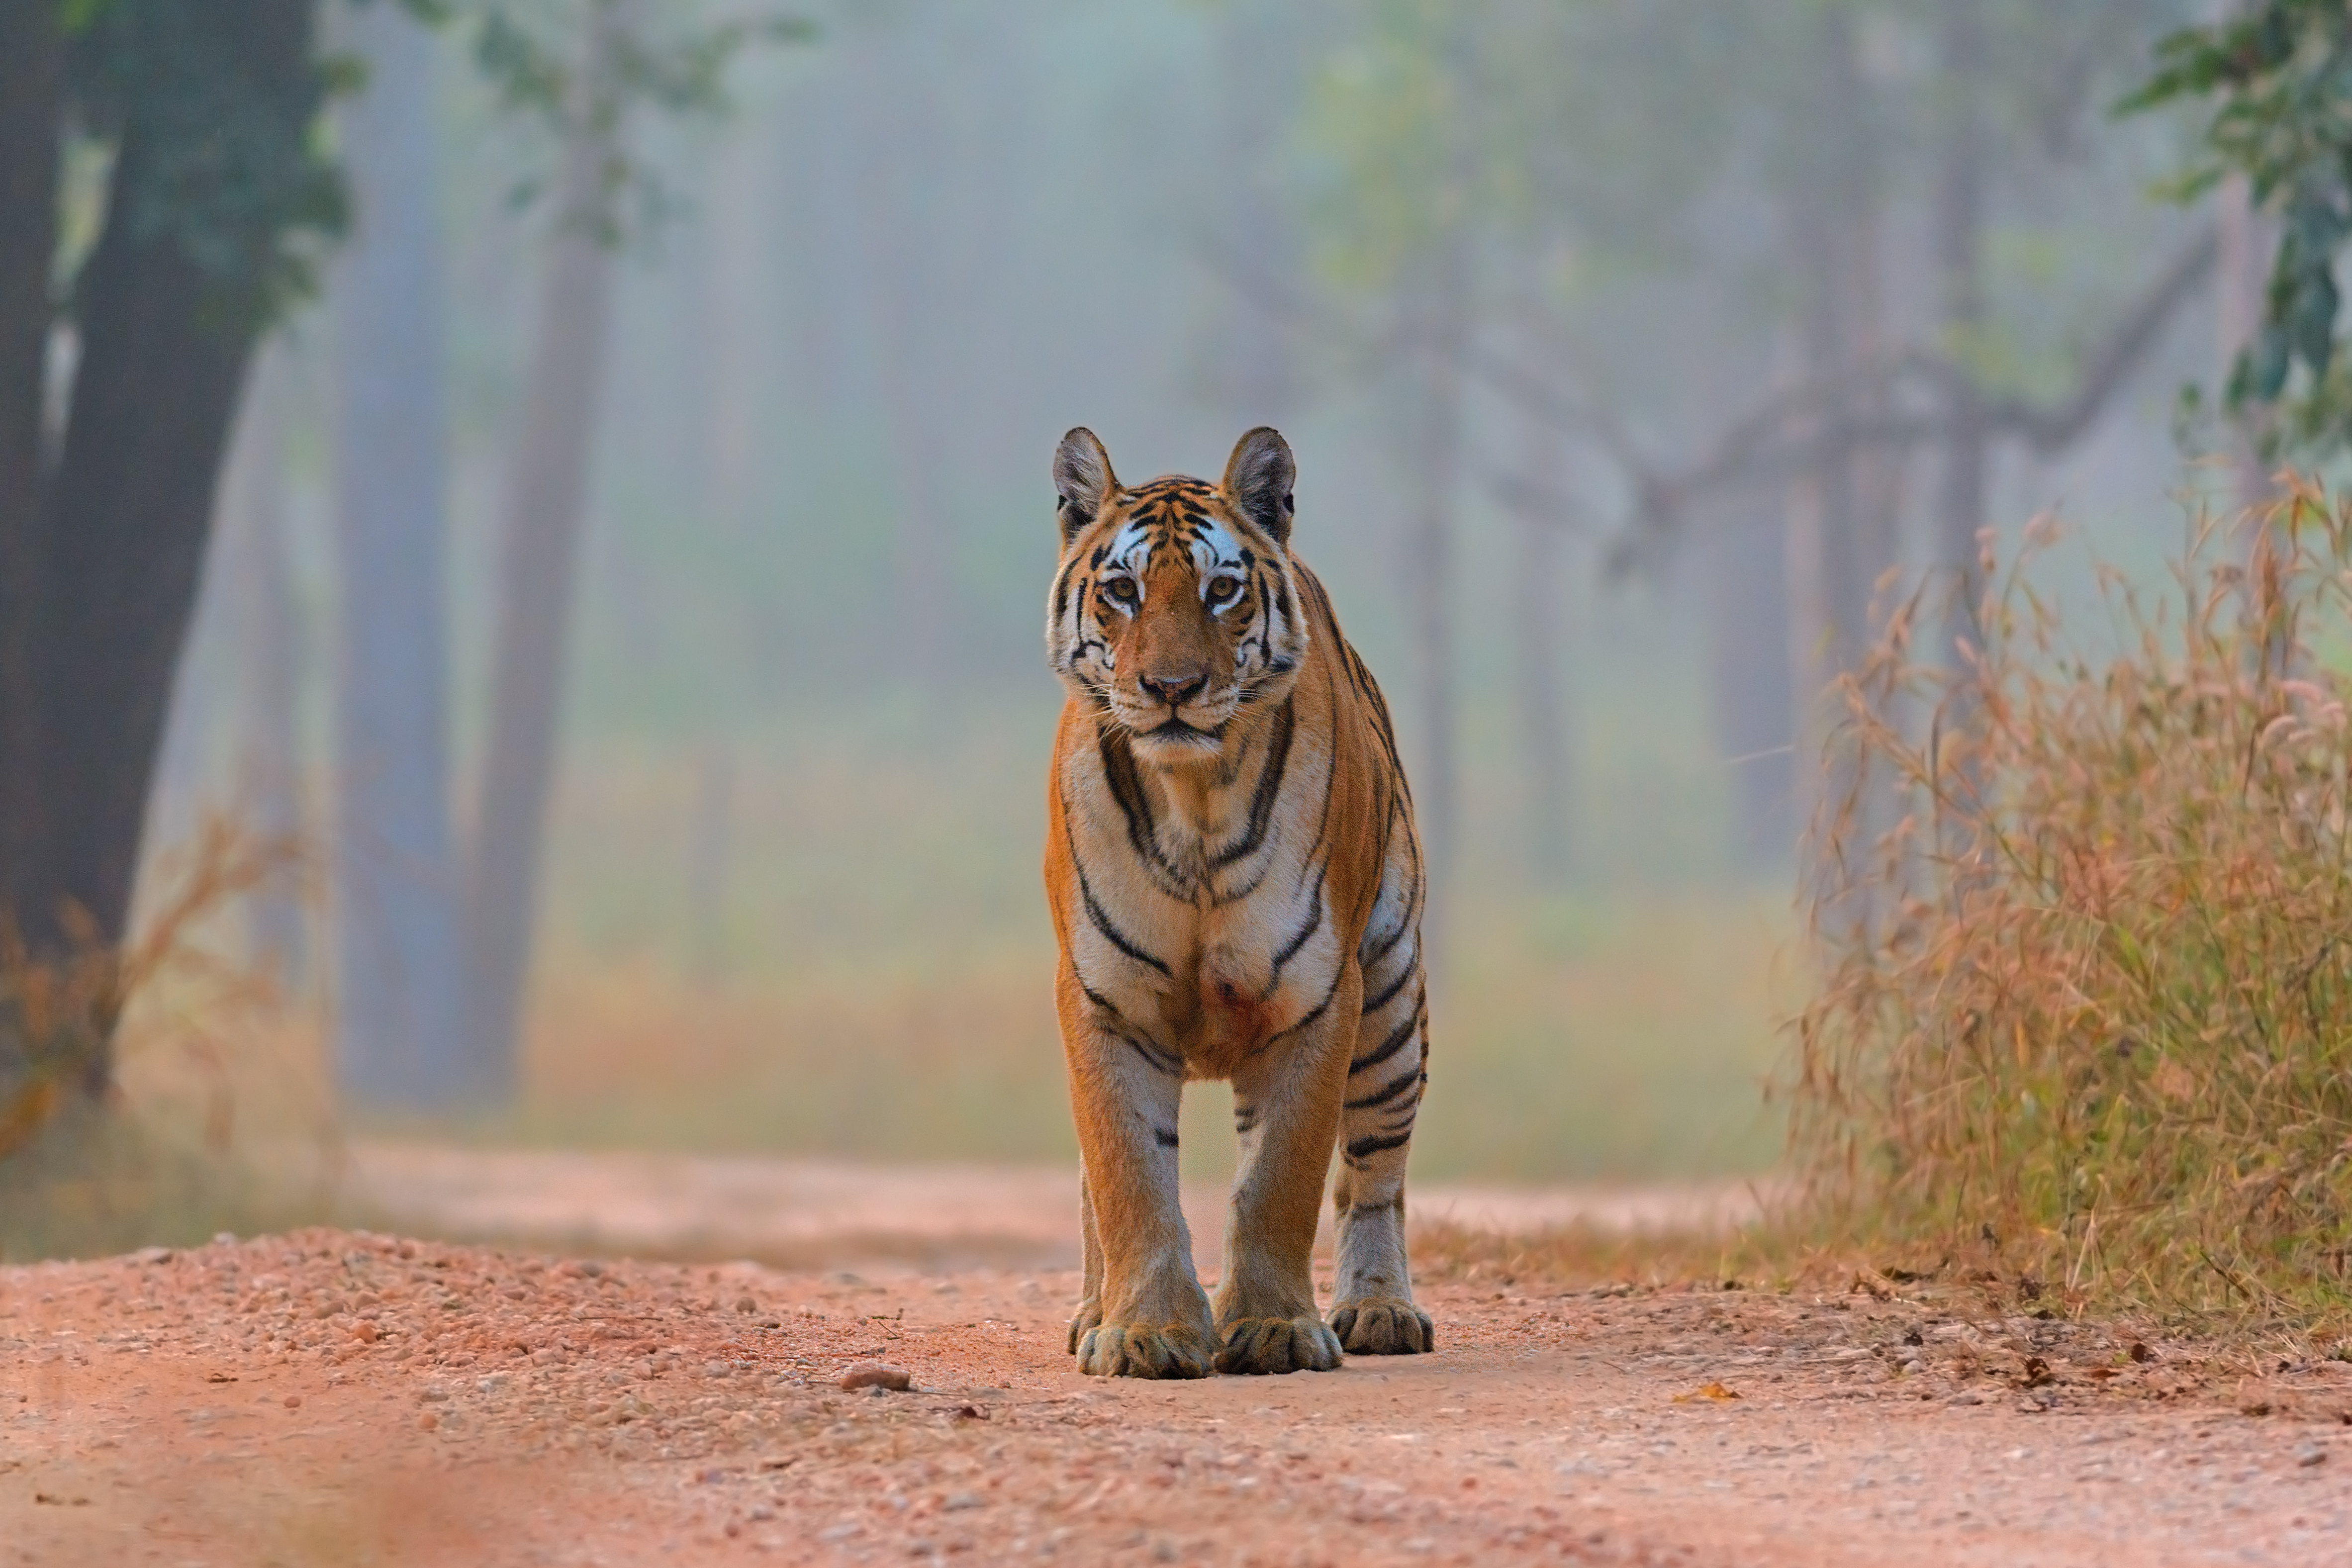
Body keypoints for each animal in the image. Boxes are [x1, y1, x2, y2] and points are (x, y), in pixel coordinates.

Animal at [1042, 425, 1434, 1379]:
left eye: (1220, 590)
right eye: (1122, 591)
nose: (1172, 688)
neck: (1193, 803)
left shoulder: (1319, 996)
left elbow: (1279, 1179)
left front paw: (1275, 1327)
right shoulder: (1103, 1001)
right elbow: (1127, 1176)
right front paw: (1143, 1332)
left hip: (1392, 1002)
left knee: (1374, 1176)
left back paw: (1379, 1309)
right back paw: (1091, 1309)